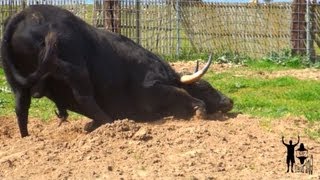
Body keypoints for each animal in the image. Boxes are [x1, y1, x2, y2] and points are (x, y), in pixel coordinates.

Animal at [1, 4, 234, 137]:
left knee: (21, 108)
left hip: (17, 84)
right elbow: (183, 94)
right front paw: (199, 109)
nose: (229, 101)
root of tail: (25, 14)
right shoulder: (153, 87)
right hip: (75, 70)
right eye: (207, 87)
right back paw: (108, 123)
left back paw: (27, 137)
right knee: (85, 97)